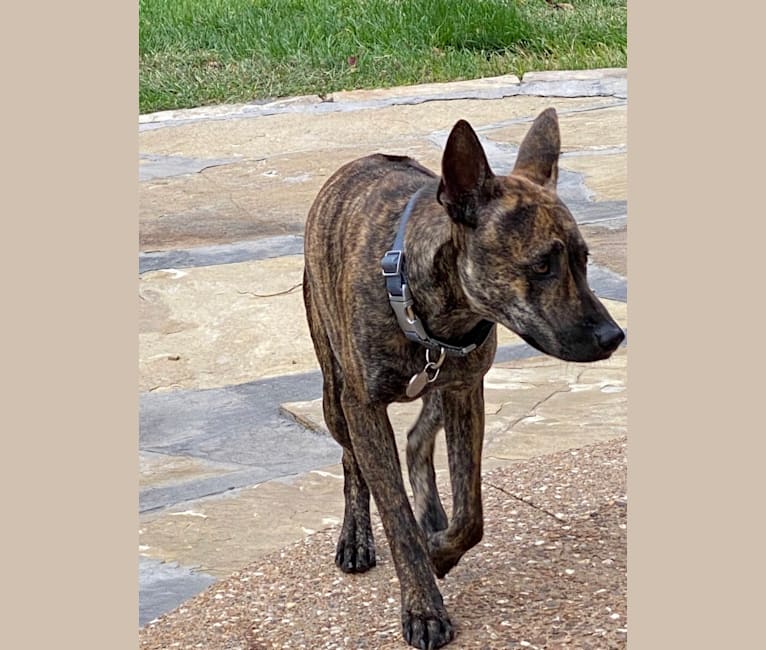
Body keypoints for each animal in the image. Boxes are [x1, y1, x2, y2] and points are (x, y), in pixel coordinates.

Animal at [304, 109, 628, 644]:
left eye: (584, 260)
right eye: (542, 265)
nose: (613, 336)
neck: (433, 312)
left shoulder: (465, 392)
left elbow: (471, 512)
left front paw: (441, 548)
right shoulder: (364, 408)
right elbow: (396, 516)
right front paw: (423, 607)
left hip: (438, 393)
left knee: (417, 438)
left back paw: (433, 513)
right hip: (335, 393)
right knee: (352, 461)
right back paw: (356, 537)